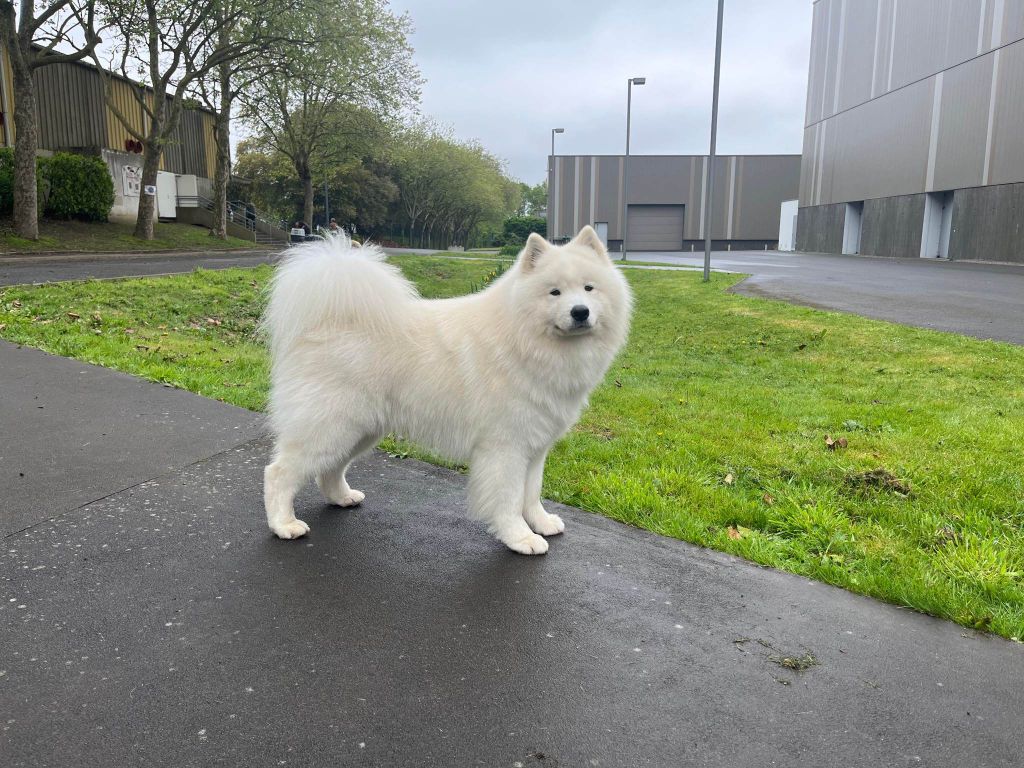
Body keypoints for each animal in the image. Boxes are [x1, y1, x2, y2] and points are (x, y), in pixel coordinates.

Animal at [262, 225, 630, 557]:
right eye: (554, 292)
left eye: (589, 288)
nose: (580, 311)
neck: (524, 340)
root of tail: (326, 321)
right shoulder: (506, 448)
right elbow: (509, 499)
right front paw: (520, 538)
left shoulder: (535, 446)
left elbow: (531, 493)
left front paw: (540, 523)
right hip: (330, 426)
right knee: (279, 473)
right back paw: (284, 525)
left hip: (358, 430)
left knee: (330, 470)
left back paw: (342, 497)